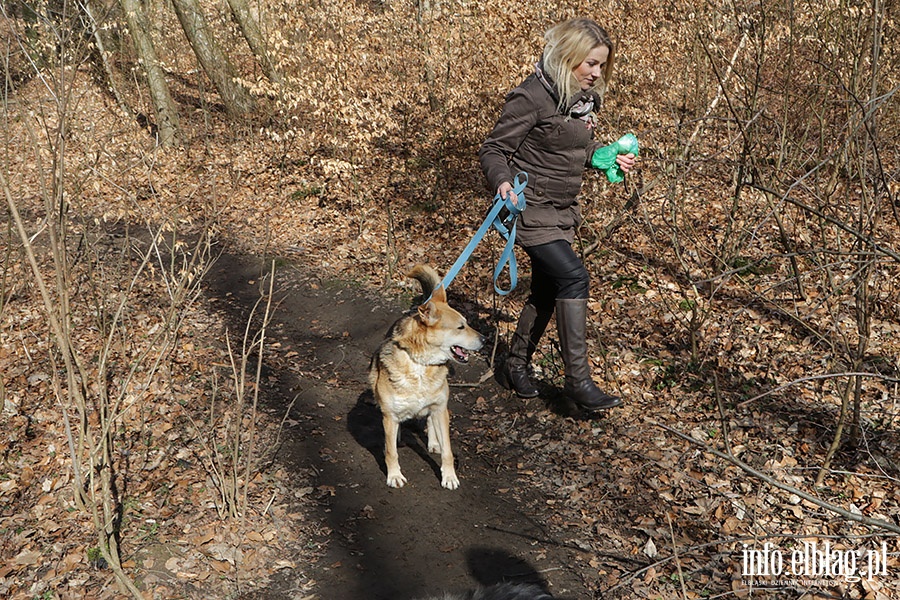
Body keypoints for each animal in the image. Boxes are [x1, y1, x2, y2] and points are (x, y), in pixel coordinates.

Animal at [368, 264, 486, 490]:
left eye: (467, 323)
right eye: (460, 327)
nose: (485, 339)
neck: (421, 364)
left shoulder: (440, 409)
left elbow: (448, 451)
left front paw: (449, 476)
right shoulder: (389, 415)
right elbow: (391, 451)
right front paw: (394, 475)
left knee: (431, 422)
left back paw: (433, 442)